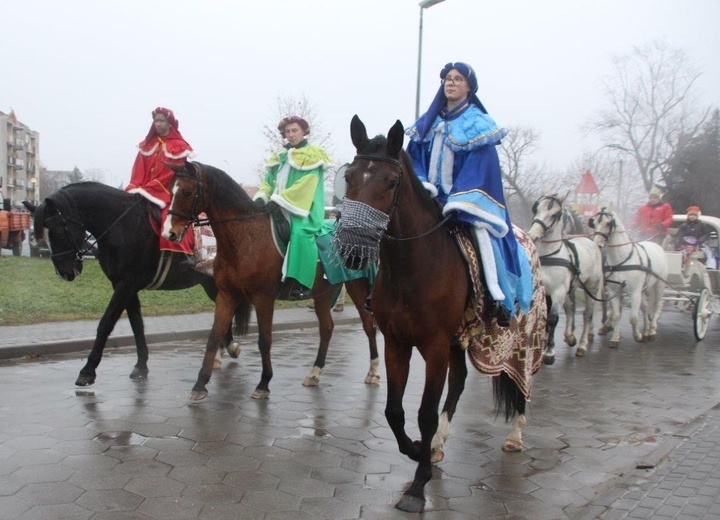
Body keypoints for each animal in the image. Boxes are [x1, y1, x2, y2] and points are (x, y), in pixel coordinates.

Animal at [27, 183, 253, 386]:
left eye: (56, 231)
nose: (65, 272)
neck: (121, 224)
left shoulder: (126, 284)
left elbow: (106, 323)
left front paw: (88, 370)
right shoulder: (124, 285)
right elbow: (137, 324)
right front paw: (141, 365)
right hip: (210, 283)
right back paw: (223, 350)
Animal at [161, 162, 380, 402]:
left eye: (187, 192)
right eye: (171, 189)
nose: (169, 233)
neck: (245, 238)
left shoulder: (263, 299)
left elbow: (264, 340)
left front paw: (264, 383)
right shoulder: (227, 295)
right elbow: (213, 336)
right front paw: (200, 384)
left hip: (357, 288)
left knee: (369, 326)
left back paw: (373, 371)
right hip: (323, 293)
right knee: (327, 328)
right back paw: (314, 373)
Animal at [334, 117, 548, 512]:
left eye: (391, 181)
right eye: (350, 176)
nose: (352, 250)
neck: (413, 267)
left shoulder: (433, 346)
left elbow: (425, 413)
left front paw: (418, 487)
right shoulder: (398, 343)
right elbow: (394, 411)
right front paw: (416, 449)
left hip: (522, 337)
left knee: (521, 382)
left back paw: (515, 434)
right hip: (458, 340)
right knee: (461, 381)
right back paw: (436, 446)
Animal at [524, 194, 604, 362]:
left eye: (555, 214)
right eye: (536, 208)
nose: (532, 234)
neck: (550, 255)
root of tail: (589, 241)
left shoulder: (558, 292)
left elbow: (552, 318)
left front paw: (549, 352)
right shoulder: (543, 290)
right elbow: (545, 316)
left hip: (592, 286)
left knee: (587, 315)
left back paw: (582, 345)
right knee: (570, 309)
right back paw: (570, 336)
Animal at [588, 207, 668, 346]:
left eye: (608, 223)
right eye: (595, 223)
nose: (597, 244)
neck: (622, 259)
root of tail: (657, 246)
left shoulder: (634, 292)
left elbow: (633, 318)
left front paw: (637, 336)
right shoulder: (614, 290)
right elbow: (616, 315)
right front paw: (615, 338)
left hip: (659, 284)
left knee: (658, 304)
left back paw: (652, 330)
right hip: (643, 289)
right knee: (645, 307)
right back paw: (647, 330)